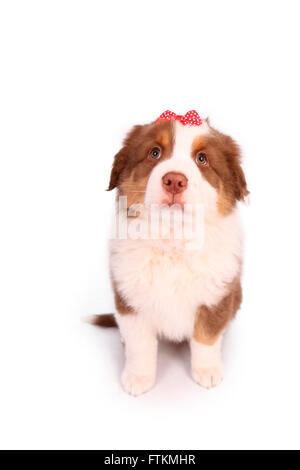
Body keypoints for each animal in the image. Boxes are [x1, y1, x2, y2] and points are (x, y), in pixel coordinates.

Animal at [93, 111, 248, 396]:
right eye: (154, 152)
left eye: (202, 159)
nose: (175, 180)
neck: (173, 237)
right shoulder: (130, 299)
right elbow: (140, 344)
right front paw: (138, 378)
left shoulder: (217, 296)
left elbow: (206, 337)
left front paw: (207, 371)